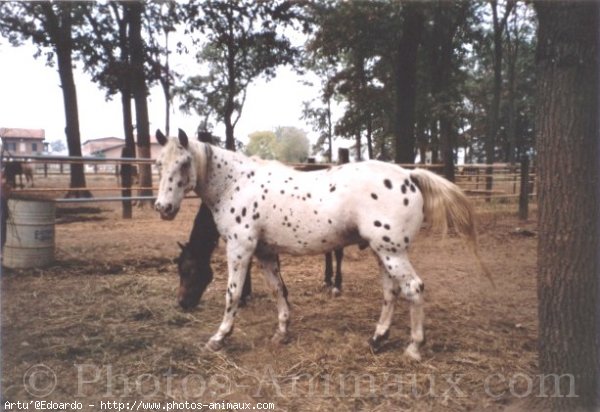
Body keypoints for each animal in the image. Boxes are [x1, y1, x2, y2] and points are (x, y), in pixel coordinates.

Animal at [155, 129, 488, 360]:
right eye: (159, 163)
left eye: (184, 163)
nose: (163, 208)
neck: (236, 184)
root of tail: (409, 175)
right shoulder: (265, 252)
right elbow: (279, 290)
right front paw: (282, 332)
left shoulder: (240, 248)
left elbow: (233, 294)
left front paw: (219, 338)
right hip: (383, 253)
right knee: (390, 292)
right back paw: (377, 339)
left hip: (392, 252)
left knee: (413, 289)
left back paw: (414, 348)